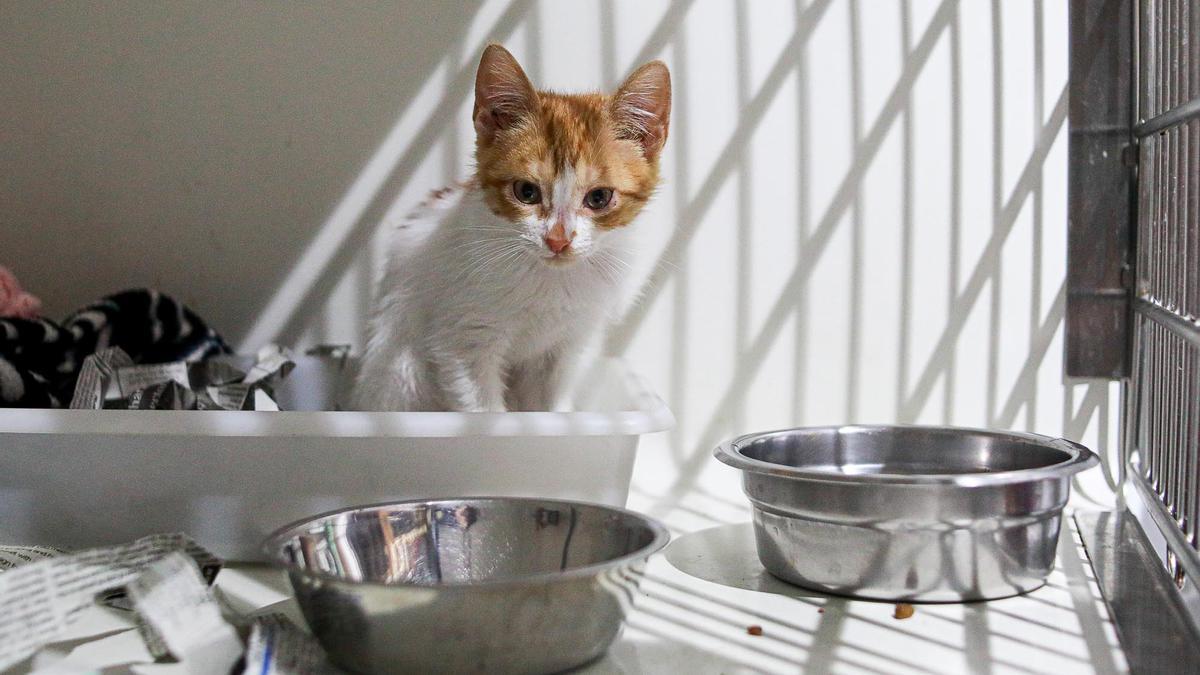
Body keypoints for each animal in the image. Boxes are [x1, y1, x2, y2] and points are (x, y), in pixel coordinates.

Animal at [355, 44, 676, 410]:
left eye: (599, 197)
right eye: (526, 191)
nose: (558, 240)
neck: (551, 281)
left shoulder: (570, 344)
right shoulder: (464, 339)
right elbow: (484, 407)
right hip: (399, 370)